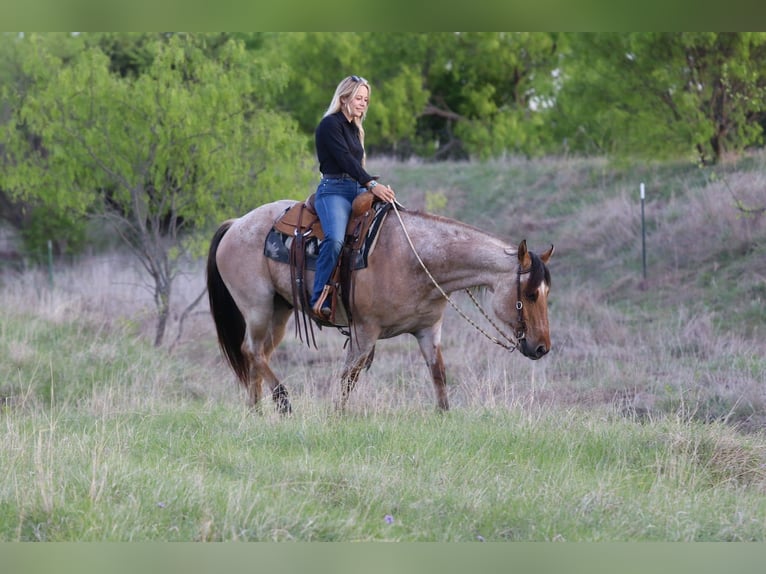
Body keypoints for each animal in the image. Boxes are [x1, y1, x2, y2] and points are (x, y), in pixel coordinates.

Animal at [206, 198, 554, 413]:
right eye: (531, 294)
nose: (542, 348)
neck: (416, 257)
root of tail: (236, 224)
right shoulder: (364, 332)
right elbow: (348, 378)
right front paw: (337, 416)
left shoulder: (428, 330)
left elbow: (438, 375)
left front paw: (444, 416)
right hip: (258, 308)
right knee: (251, 351)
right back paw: (283, 402)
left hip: (279, 311)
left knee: (258, 355)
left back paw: (256, 411)